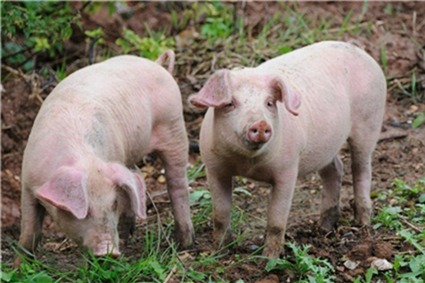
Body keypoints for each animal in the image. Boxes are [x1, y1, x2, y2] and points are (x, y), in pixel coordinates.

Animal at [15, 50, 194, 266]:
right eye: (85, 211)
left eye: (113, 204)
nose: (109, 251)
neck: (85, 158)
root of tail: (158, 64)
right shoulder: (27, 182)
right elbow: (29, 230)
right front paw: (19, 266)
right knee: (137, 176)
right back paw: (127, 236)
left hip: (174, 127)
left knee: (177, 184)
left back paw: (185, 243)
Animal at [190, 41, 386, 258]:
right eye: (230, 103)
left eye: (269, 103)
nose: (260, 123)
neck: (247, 164)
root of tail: (360, 51)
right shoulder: (214, 167)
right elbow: (220, 214)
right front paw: (219, 252)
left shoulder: (288, 169)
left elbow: (276, 219)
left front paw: (270, 258)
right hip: (326, 147)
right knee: (335, 168)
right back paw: (324, 227)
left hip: (370, 122)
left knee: (361, 169)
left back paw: (362, 223)